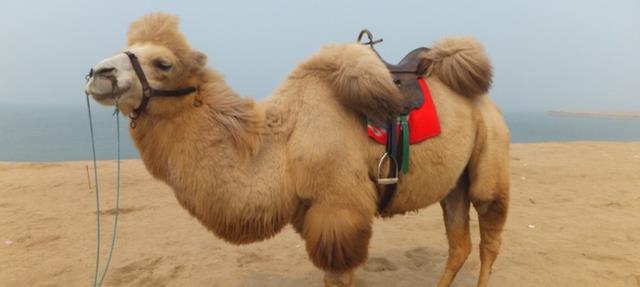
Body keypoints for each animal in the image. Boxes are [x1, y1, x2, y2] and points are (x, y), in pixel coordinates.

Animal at [84, 12, 510, 287]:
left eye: (163, 62)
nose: (98, 74)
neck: (283, 145)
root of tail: (485, 99)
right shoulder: (312, 212)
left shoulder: (339, 209)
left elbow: (338, 277)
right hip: (454, 182)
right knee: (459, 243)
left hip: (491, 154)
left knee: (489, 235)